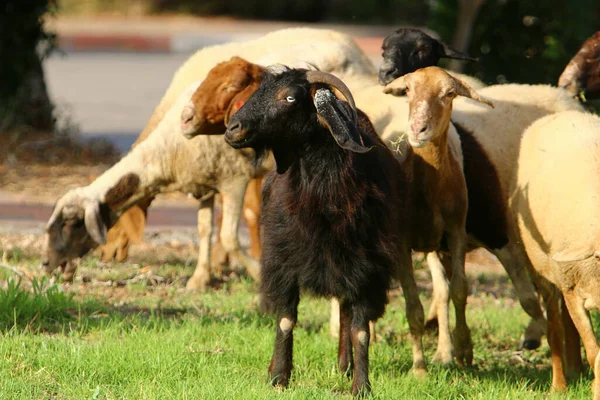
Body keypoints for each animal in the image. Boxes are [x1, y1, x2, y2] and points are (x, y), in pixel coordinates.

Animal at [225, 67, 426, 396]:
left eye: (290, 97)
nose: (232, 128)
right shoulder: (283, 263)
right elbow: (285, 321)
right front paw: (278, 378)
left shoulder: (367, 269)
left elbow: (360, 330)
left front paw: (362, 386)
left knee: (345, 313)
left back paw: (345, 367)